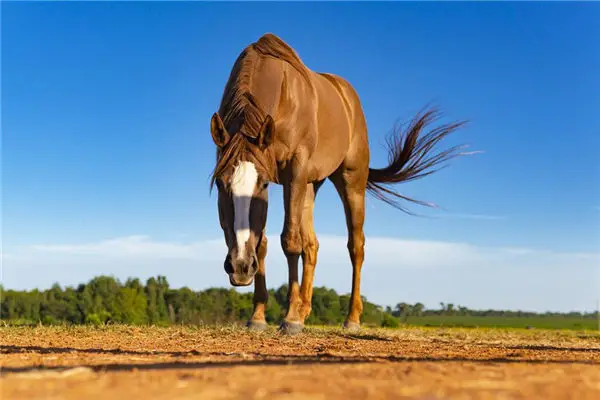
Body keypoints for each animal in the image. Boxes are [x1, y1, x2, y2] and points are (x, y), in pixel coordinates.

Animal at [211, 33, 468, 334]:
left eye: (262, 184)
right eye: (220, 184)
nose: (240, 266)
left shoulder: (294, 172)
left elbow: (290, 241)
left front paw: (289, 318)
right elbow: (263, 243)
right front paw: (259, 316)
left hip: (350, 181)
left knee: (355, 246)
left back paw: (350, 318)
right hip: (311, 185)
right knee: (312, 245)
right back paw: (304, 310)